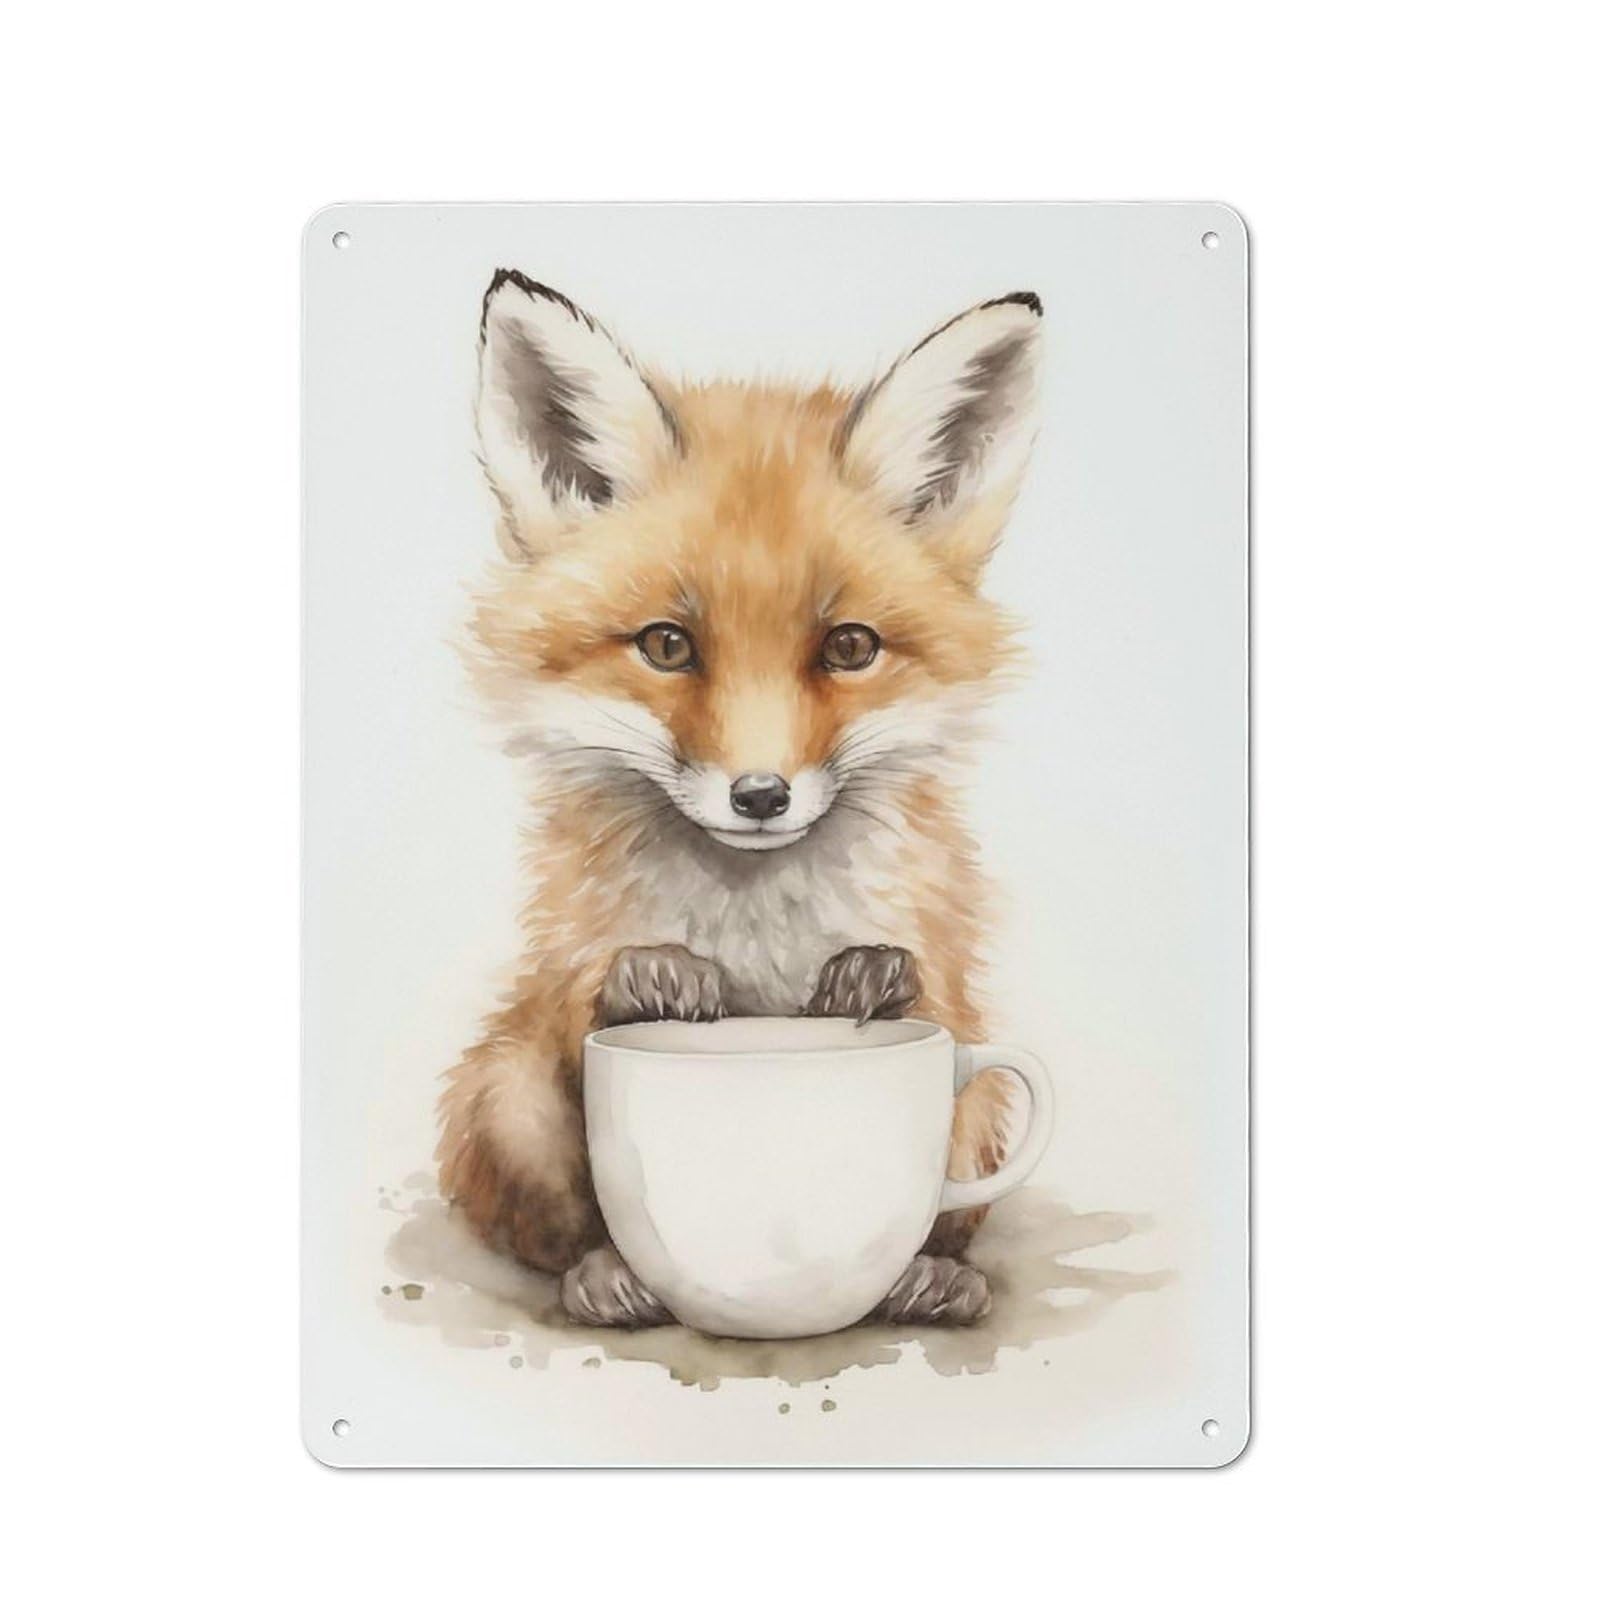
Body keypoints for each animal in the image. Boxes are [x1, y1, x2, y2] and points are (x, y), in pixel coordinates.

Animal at [436, 270, 1044, 1329]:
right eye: (667, 645)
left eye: (849, 647)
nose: (760, 795)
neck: (755, 925)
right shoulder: (559, 970)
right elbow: (583, 1010)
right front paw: (651, 978)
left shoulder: (949, 977)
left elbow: (934, 1000)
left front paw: (876, 978)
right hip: (496, 1093)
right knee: (540, 1208)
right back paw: (607, 1277)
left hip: (988, 1110)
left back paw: (931, 1280)